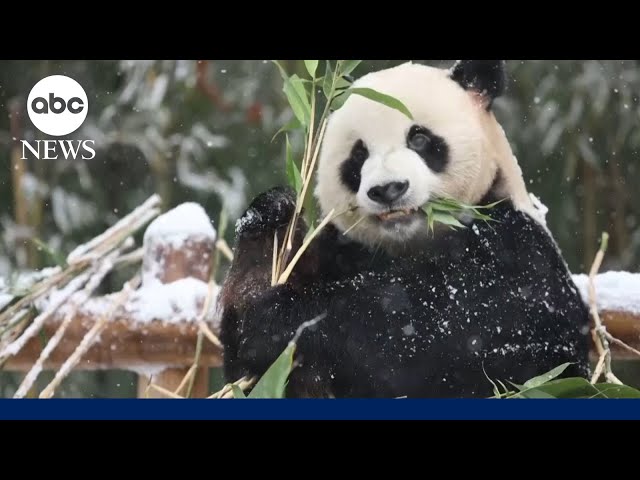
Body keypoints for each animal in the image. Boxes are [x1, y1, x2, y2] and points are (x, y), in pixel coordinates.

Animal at [218, 60, 592, 398]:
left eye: (420, 139)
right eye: (358, 155)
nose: (388, 189)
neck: (411, 243)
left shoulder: (513, 248)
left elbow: (444, 328)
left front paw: (282, 318)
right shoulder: (341, 250)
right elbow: (248, 363)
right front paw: (271, 219)